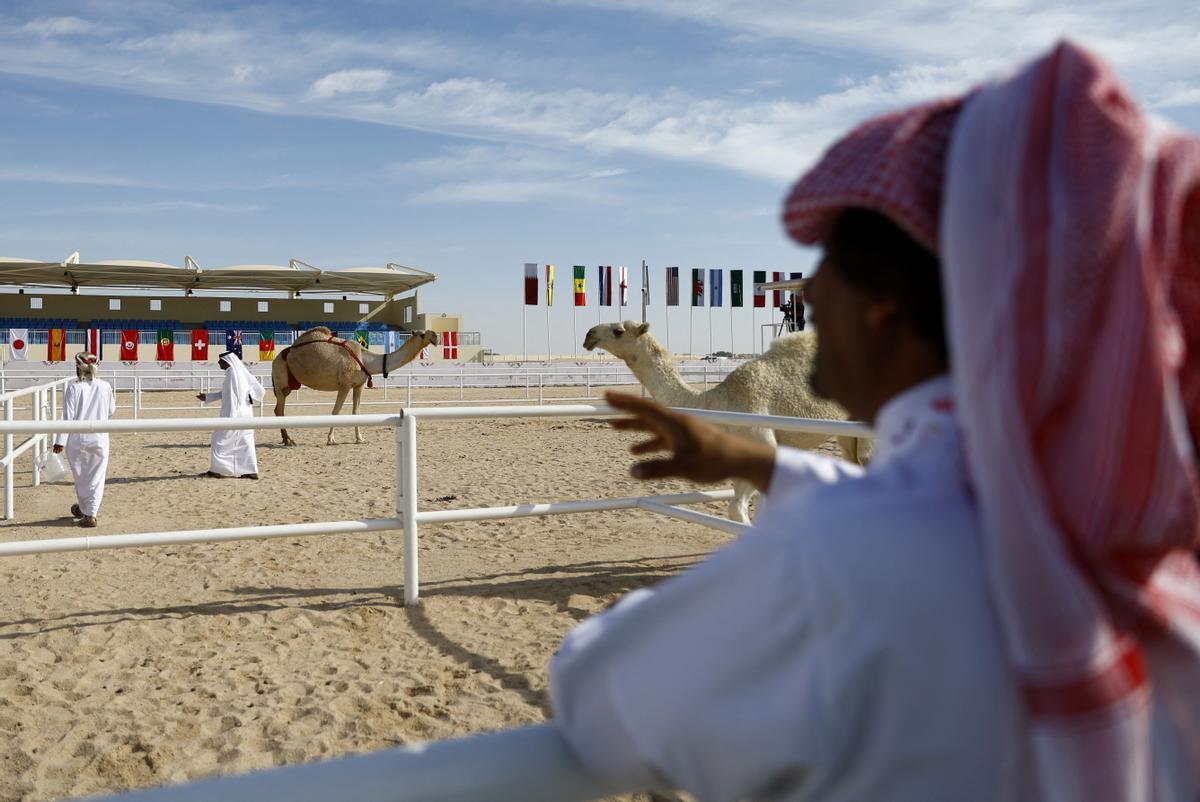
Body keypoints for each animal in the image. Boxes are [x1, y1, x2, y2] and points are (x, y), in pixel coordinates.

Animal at [272, 328, 441, 449]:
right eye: (422, 334)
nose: (436, 336)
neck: (366, 360)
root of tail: (275, 358)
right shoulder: (345, 385)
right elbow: (336, 412)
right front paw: (331, 439)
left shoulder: (359, 385)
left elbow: (356, 412)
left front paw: (360, 439)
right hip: (281, 379)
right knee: (279, 409)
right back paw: (289, 440)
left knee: (278, 409)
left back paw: (286, 439)